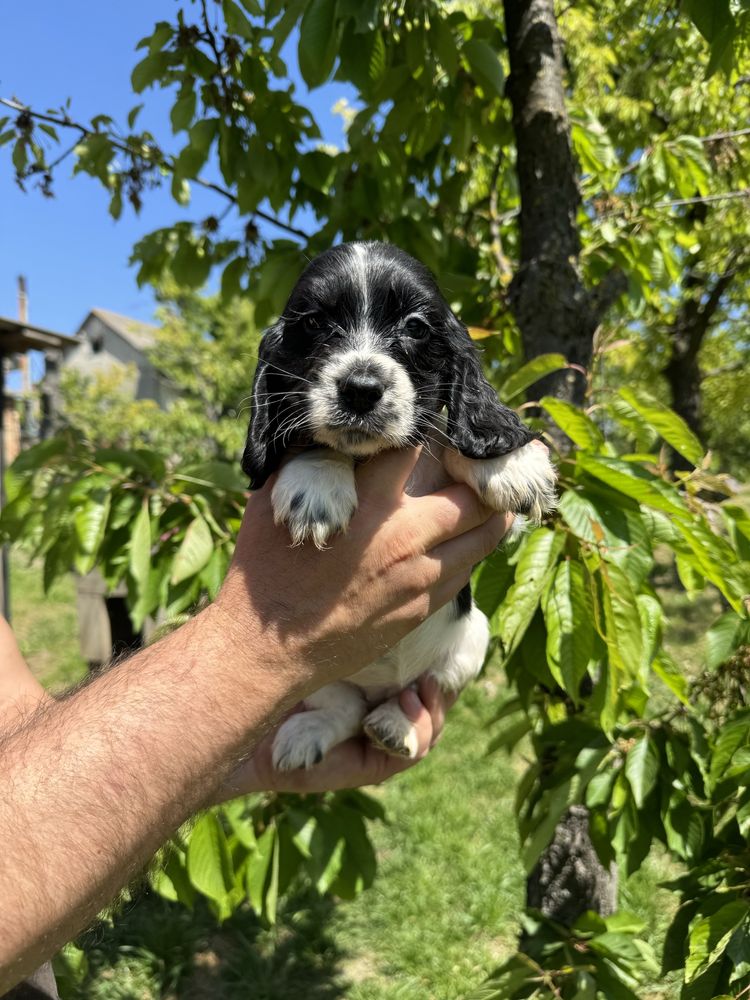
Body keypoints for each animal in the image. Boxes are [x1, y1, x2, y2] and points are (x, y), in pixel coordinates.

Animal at [242, 238, 560, 768]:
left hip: (471, 640)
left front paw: (512, 465)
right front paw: (318, 483)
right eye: (314, 323)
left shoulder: (499, 525)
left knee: (412, 692)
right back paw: (309, 733)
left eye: (415, 327)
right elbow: (313, 438)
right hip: (312, 678)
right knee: (346, 709)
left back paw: (395, 725)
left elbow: (447, 439)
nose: (361, 389)